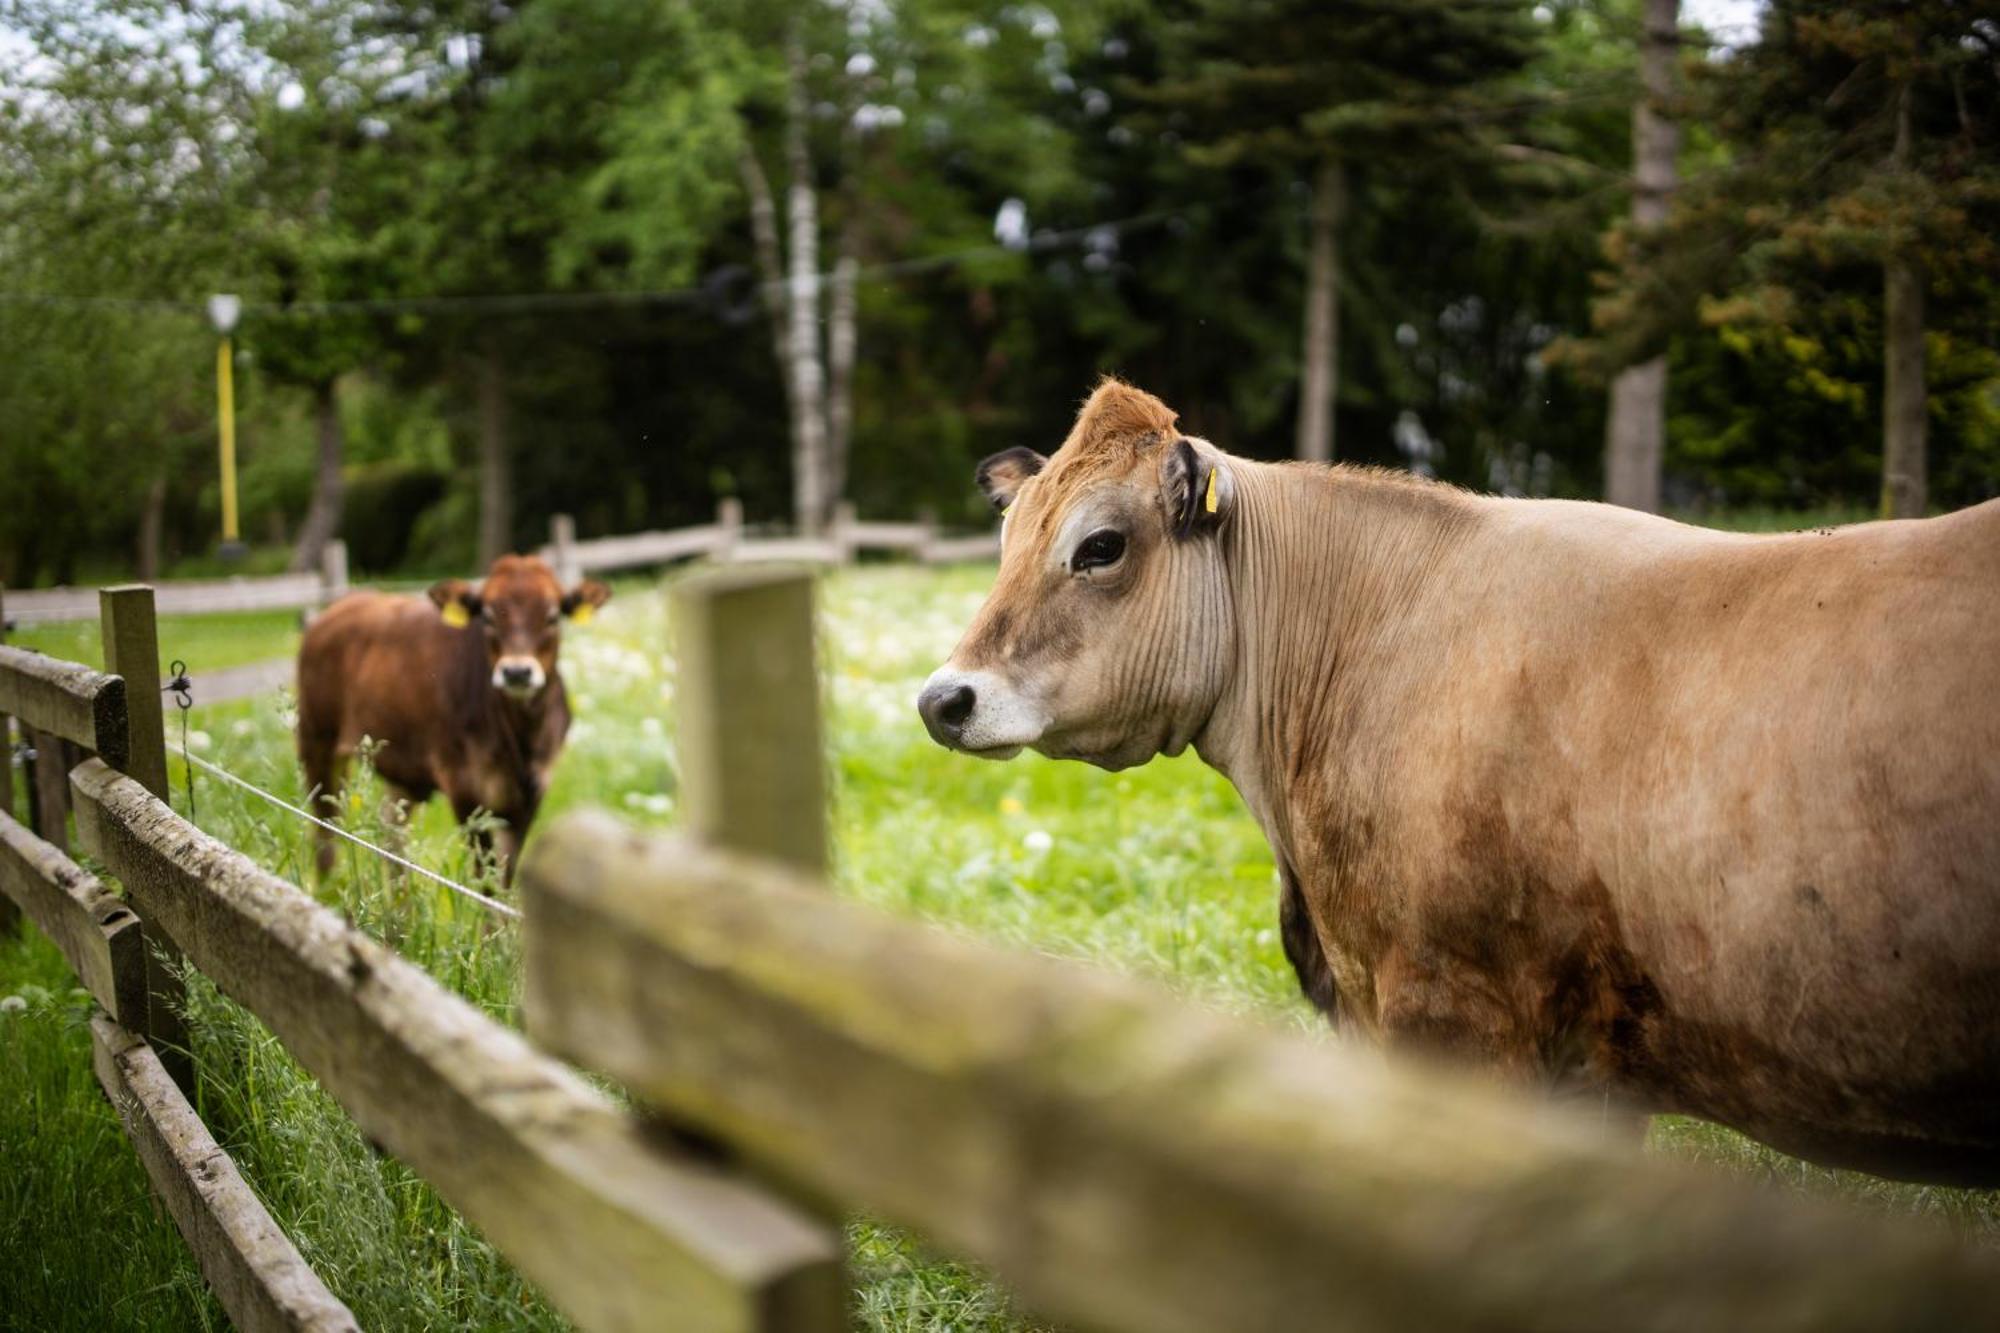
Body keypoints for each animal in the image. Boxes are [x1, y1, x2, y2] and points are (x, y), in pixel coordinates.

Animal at [296, 552, 608, 880]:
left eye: (552, 616)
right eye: (488, 616)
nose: (517, 672)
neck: (522, 737)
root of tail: (334, 610)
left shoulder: (532, 793)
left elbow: (505, 875)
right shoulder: (464, 786)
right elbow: (485, 873)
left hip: (401, 770)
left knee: (392, 838)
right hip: (316, 740)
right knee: (326, 833)